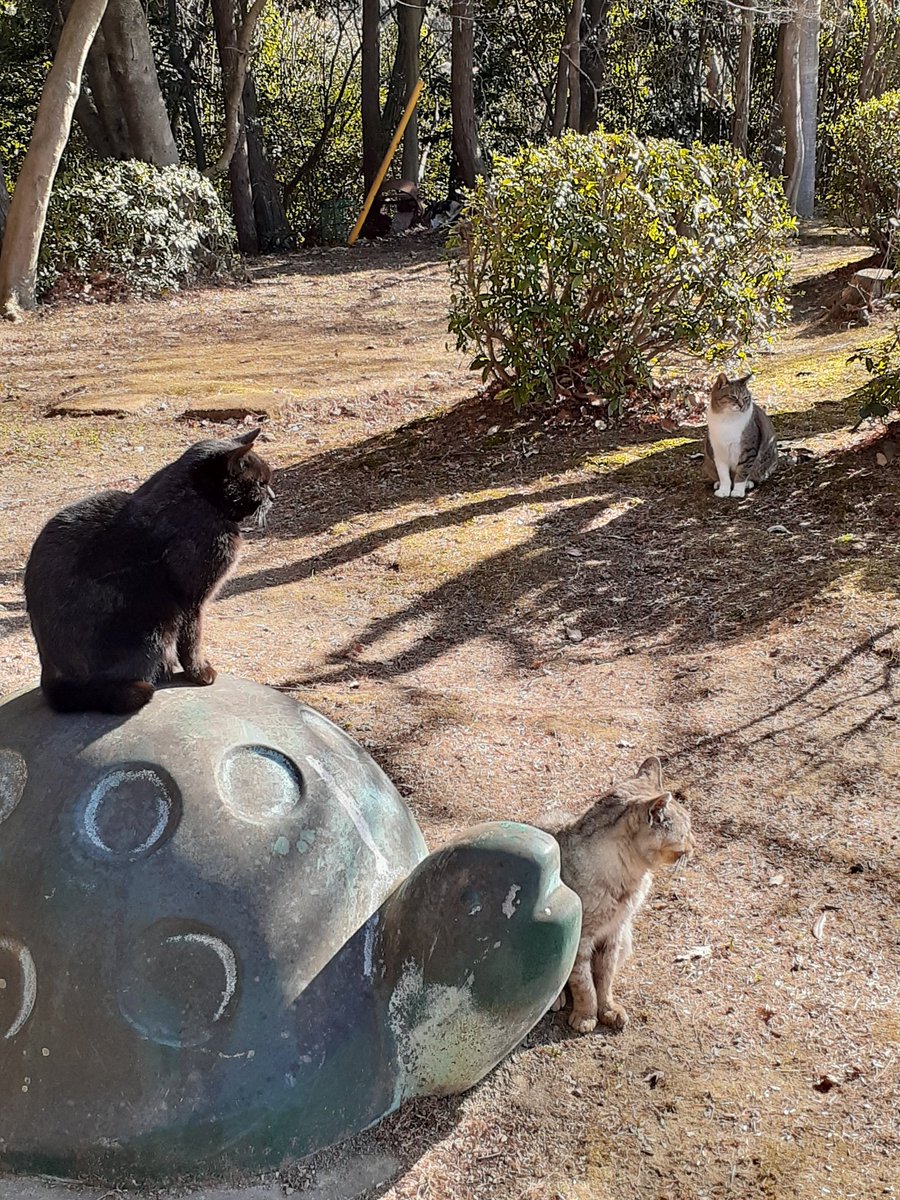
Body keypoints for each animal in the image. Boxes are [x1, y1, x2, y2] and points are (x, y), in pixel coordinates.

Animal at [23, 432, 271, 710]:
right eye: (261, 483)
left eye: (268, 481)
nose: (273, 496)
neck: (197, 500)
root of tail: (49, 678)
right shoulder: (191, 601)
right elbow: (192, 641)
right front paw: (200, 673)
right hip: (154, 624)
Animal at [547, 758, 696, 1032]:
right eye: (685, 832)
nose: (695, 844)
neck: (629, 880)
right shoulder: (581, 939)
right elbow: (583, 983)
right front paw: (586, 1015)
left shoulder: (615, 932)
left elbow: (604, 978)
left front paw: (607, 1010)